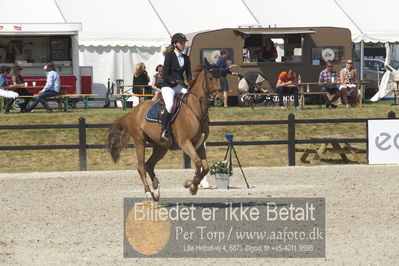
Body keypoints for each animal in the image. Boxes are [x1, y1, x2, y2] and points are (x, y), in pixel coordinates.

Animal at [106, 60, 222, 201]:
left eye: (221, 78)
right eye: (210, 78)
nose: (219, 99)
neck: (194, 110)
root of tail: (134, 111)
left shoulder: (199, 144)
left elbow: (205, 168)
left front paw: (190, 184)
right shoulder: (185, 143)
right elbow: (198, 163)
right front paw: (192, 186)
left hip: (161, 146)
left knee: (149, 164)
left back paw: (156, 190)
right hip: (140, 141)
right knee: (141, 166)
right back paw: (148, 192)